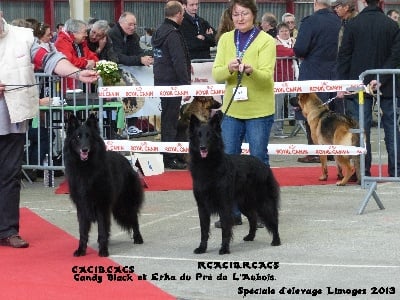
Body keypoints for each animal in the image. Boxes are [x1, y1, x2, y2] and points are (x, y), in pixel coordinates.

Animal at [65, 114, 145, 255]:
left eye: (89, 136)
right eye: (78, 137)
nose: (84, 149)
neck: (85, 168)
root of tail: (127, 161)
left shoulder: (101, 205)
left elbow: (102, 230)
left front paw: (103, 250)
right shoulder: (82, 206)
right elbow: (83, 231)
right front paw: (81, 250)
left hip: (125, 204)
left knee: (134, 218)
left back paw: (138, 238)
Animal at [188, 111, 280, 254]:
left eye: (209, 135)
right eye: (199, 135)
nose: (203, 147)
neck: (208, 165)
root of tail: (263, 165)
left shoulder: (224, 204)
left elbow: (226, 228)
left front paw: (224, 248)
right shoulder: (202, 206)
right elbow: (204, 230)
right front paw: (202, 248)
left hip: (262, 202)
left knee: (273, 220)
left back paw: (276, 240)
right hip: (244, 203)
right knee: (253, 218)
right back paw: (250, 236)